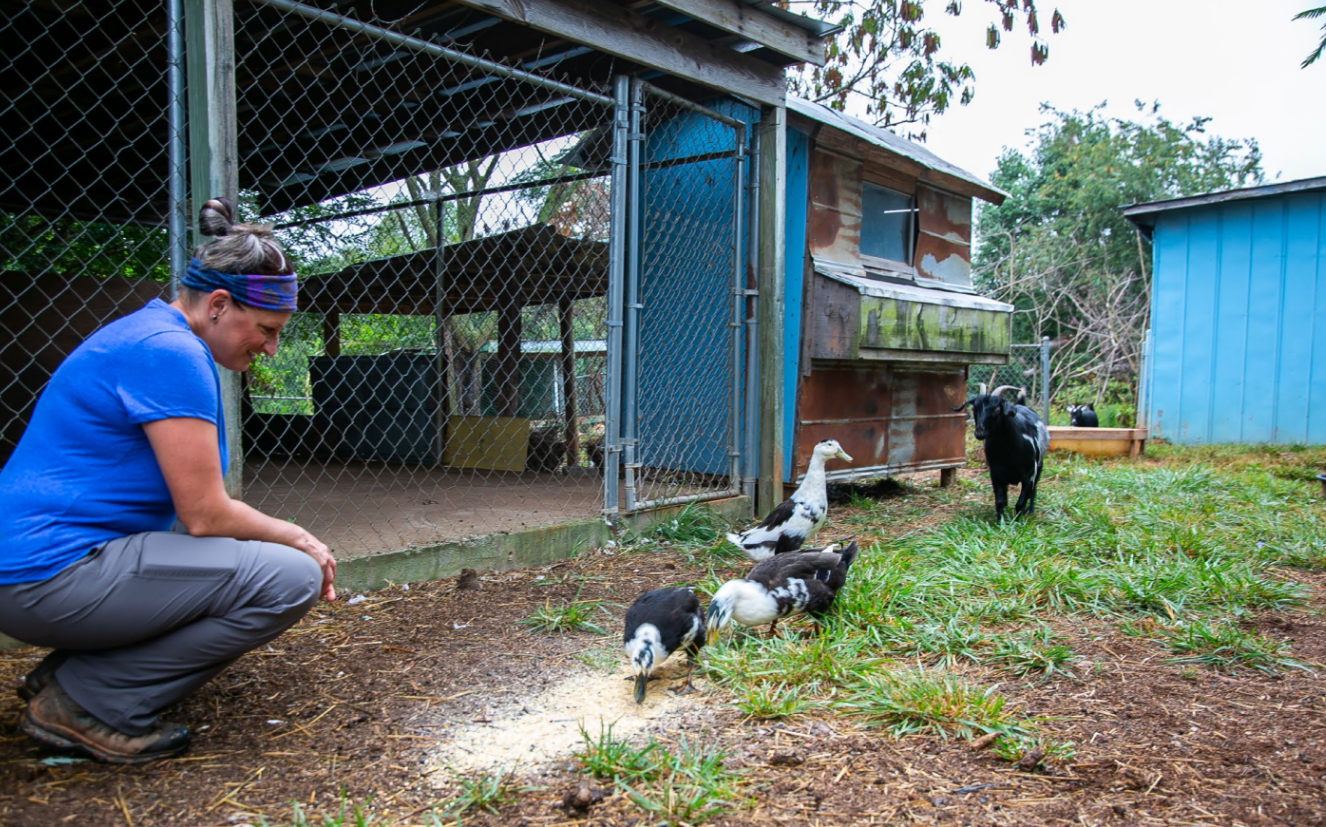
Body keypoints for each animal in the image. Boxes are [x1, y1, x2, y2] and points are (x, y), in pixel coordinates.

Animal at [954, 386, 1044, 516]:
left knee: (1034, 490)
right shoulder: (996, 475)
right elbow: (1000, 501)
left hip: (1040, 466)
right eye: (974, 408)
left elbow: (1021, 502)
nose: (979, 432)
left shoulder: (1030, 475)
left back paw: (1031, 510)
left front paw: (1018, 518)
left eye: (997, 410)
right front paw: (1000, 519)